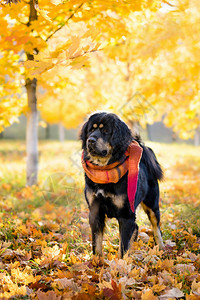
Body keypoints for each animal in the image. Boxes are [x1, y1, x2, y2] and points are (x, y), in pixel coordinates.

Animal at [80, 111, 163, 256]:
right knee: (136, 227)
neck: (104, 170)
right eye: (91, 130)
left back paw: (162, 248)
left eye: (106, 131)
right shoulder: (95, 212)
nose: (90, 140)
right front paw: (97, 262)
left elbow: (123, 248)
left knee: (156, 226)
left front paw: (121, 262)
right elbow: (97, 245)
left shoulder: (126, 215)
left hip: (152, 204)